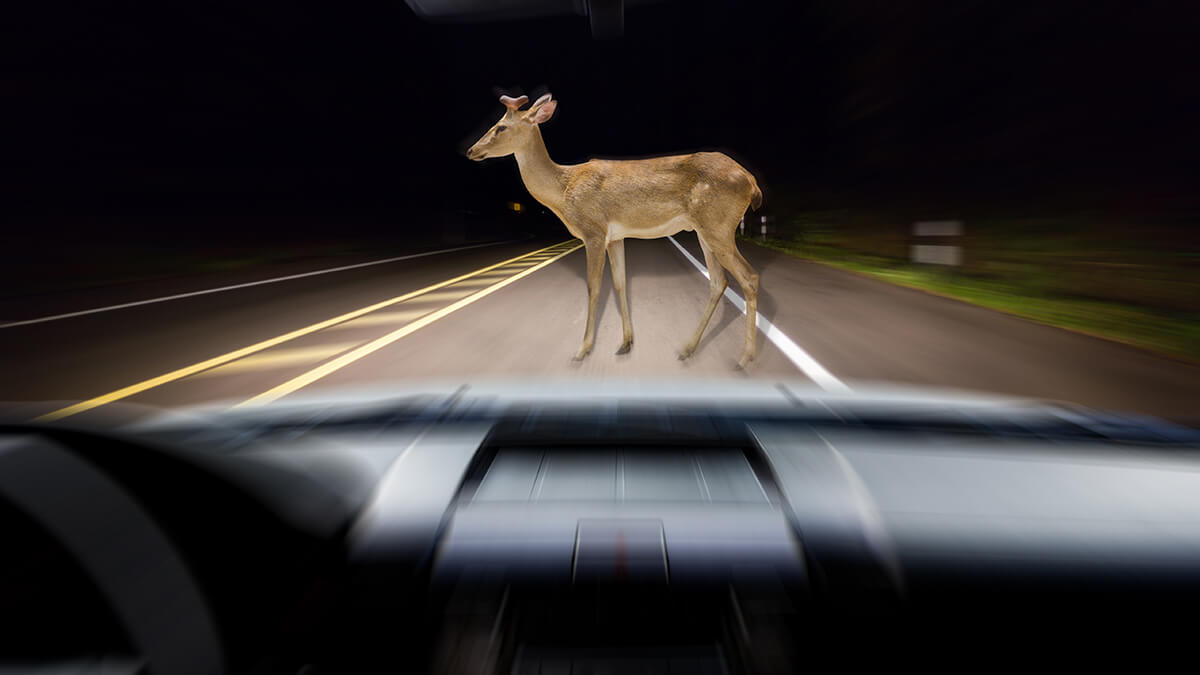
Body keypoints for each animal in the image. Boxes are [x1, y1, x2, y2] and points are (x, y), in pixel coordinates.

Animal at [463, 91, 763, 365]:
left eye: (501, 126)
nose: (471, 150)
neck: (563, 190)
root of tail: (752, 182)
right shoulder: (615, 237)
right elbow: (620, 283)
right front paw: (626, 343)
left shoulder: (593, 231)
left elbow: (593, 286)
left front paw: (582, 349)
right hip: (704, 231)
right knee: (719, 281)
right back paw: (688, 349)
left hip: (718, 226)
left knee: (749, 276)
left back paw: (745, 356)